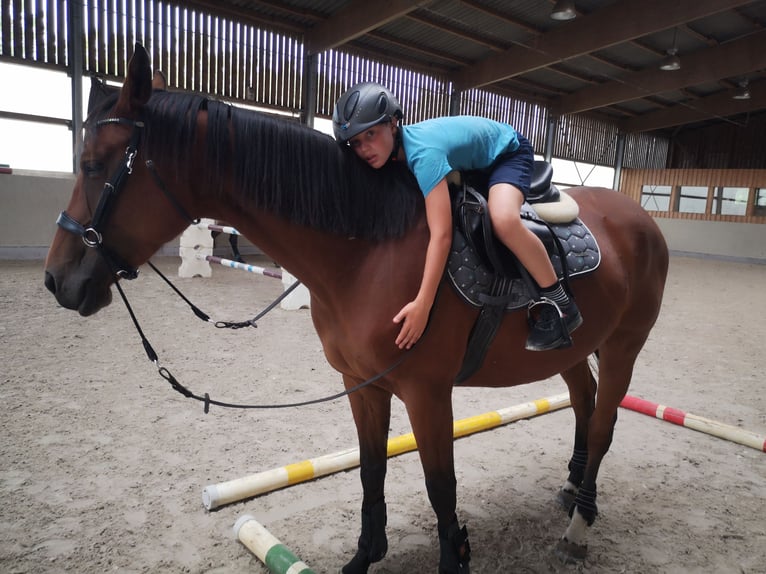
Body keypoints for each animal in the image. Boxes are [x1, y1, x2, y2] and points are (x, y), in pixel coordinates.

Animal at [42, 46, 668, 574]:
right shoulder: (362, 385)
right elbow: (372, 471)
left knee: (604, 420)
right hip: (574, 349)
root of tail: (640, 219)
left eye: (94, 164)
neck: (371, 250)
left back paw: (580, 525)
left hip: (624, 347)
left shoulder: (426, 393)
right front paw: (366, 556)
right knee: (585, 403)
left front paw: (453, 557)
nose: (57, 280)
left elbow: (441, 486)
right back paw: (572, 489)